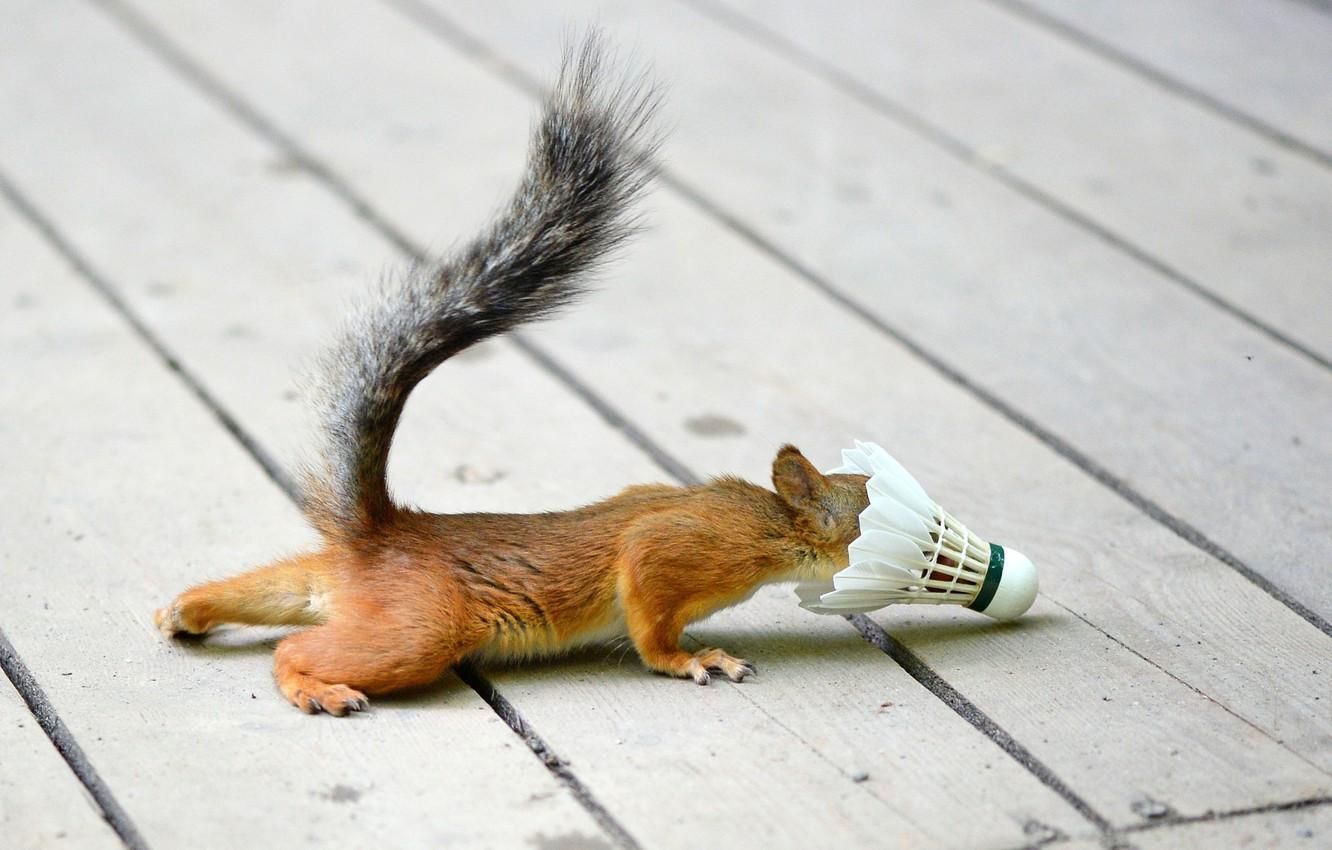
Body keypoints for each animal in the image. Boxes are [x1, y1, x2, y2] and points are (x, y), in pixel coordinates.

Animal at [154, 36, 871, 716]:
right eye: (870, 506)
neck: (771, 523)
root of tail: (382, 533)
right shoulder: (678, 549)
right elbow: (649, 617)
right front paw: (692, 659)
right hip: (420, 627)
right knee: (296, 646)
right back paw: (314, 688)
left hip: (335, 586)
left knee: (277, 587)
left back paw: (184, 611)